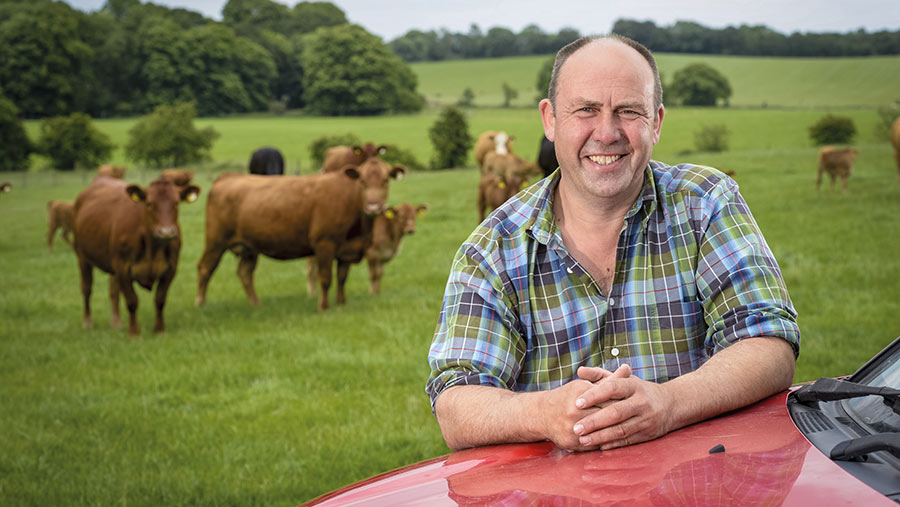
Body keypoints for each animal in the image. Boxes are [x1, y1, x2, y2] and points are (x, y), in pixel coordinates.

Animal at [73, 175, 200, 338]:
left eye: (176, 203)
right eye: (149, 203)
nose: (166, 232)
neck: (152, 248)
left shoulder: (170, 269)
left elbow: (160, 300)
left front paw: (160, 330)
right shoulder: (122, 268)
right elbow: (132, 301)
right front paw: (134, 333)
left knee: (114, 291)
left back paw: (116, 322)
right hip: (82, 256)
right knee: (87, 288)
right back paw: (88, 321)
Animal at [200, 158, 408, 310]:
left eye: (385, 180)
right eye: (362, 181)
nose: (373, 206)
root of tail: (227, 177)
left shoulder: (347, 250)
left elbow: (342, 278)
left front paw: (342, 303)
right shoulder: (324, 243)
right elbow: (325, 278)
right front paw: (324, 306)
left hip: (249, 248)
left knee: (244, 273)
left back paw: (256, 304)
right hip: (215, 242)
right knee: (205, 268)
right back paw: (200, 303)